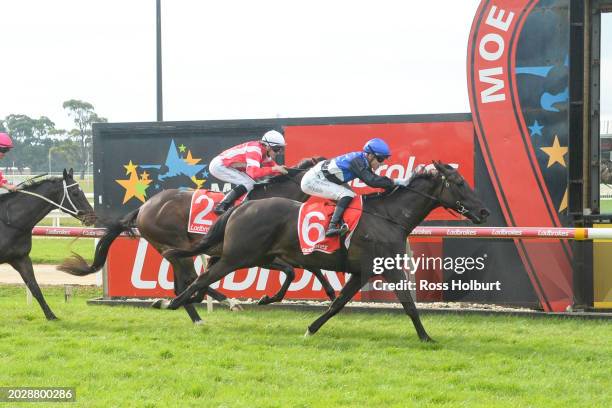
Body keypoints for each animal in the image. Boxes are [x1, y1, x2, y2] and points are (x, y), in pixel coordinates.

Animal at [0, 169, 94, 318]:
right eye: (75, 192)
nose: (92, 216)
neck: (10, 221)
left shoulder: (21, 258)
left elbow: (34, 287)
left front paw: (51, 316)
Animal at [59, 158, 338, 324]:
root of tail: (144, 207)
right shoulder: (250, 253)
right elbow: (295, 269)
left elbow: (309, 268)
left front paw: (331, 292)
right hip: (177, 244)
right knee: (187, 280)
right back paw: (215, 305)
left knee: (184, 282)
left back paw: (194, 310)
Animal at [160, 163, 490, 342]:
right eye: (459, 182)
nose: (484, 211)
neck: (388, 217)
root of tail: (242, 207)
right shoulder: (388, 268)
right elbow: (409, 304)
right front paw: (426, 337)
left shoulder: (361, 272)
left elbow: (337, 304)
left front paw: (310, 328)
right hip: (237, 256)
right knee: (201, 279)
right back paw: (176, 304)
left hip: (257, 256)